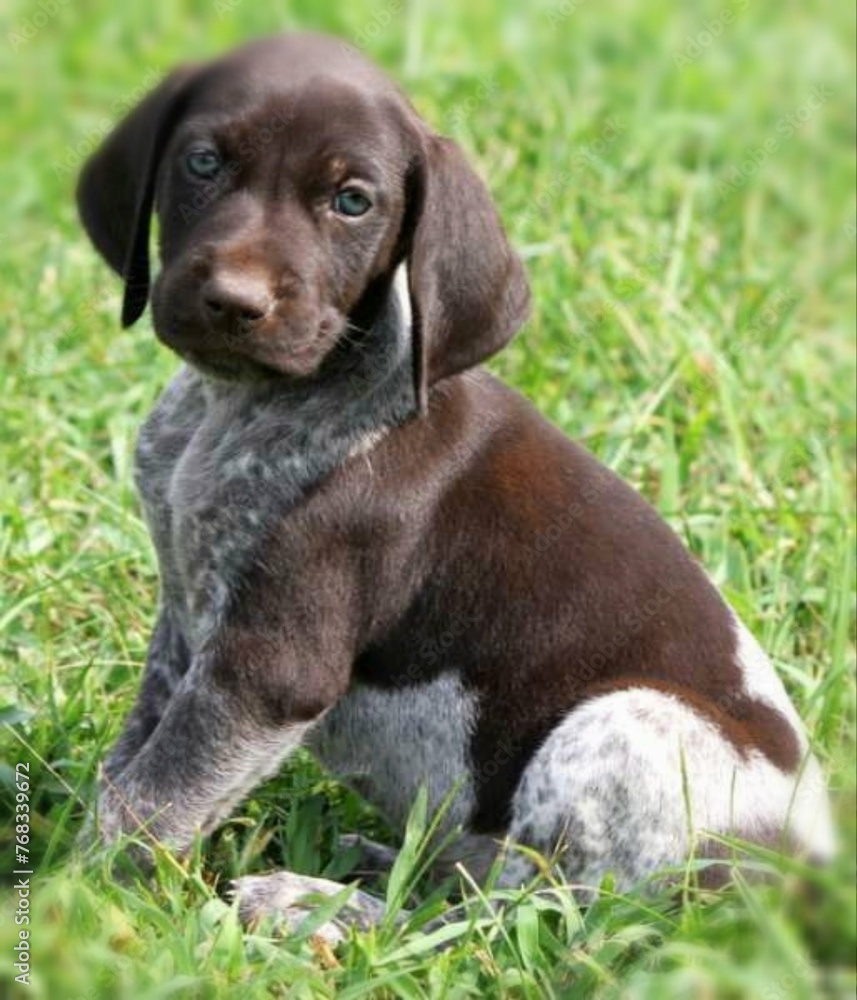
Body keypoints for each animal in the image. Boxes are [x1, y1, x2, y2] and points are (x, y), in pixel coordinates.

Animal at [78, 35, 828, 932]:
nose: (234, 302)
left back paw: (319, 908)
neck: (235, 410)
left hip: (621, 725)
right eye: (202, 161)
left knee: (509, 924)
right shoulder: (188, 625)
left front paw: (70, 901)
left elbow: (149, 803)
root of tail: (807, 881)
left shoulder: (266, 668)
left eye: (352, 202)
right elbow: (132, 766)